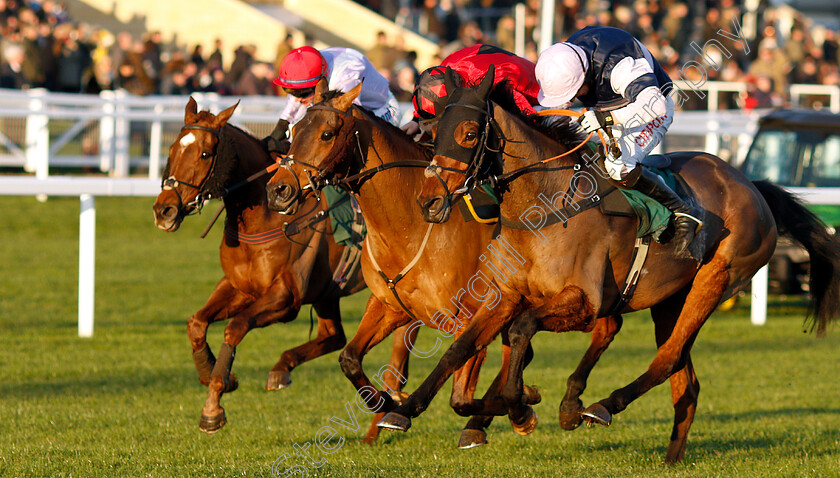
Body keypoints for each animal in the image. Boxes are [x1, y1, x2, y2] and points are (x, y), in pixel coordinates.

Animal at [153, 98, 416, 440]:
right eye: (172, 149)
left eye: (205, 154)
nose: (164, 210)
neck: (265, 217)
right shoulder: (239, 286)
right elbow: (196, 322)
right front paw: (211, 372)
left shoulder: (285, 296)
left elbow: (235, 327)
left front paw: (213, 405)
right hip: (328, 291)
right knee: (334, 335)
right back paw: (284, 371)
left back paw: (386, 412)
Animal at [266, 79, 628, 448]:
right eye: (294, 130)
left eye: (326, 134)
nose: (278, 190)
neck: (410, 226)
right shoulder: (390, 305)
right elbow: (349, 358)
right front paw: (385, 402)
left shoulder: (472, 313)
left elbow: (462, 393)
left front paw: (521, 406)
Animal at [380, 67, 840, 464]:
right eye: (432, 134)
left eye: (470, 133)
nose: (429, 203)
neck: (547, 205)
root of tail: (751, 185)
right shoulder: (506, 296)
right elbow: (460, 349)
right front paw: (407, 409)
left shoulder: (582, 302)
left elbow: (522, 329)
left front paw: (521, 407)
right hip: (668, 301)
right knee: (684, 381)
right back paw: (665, 454)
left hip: (715, 281)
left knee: (667, 359)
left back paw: (601, 406)